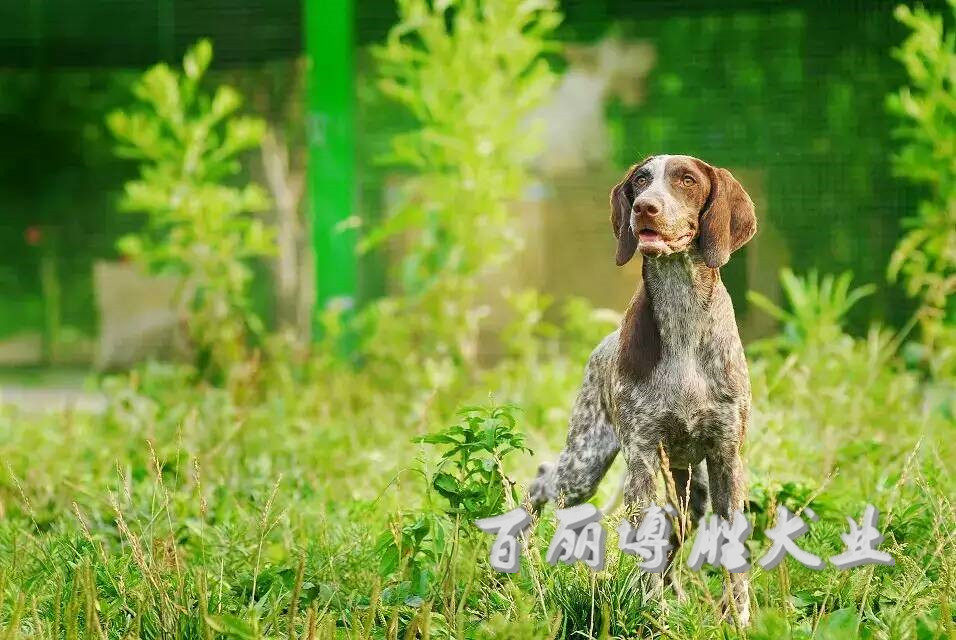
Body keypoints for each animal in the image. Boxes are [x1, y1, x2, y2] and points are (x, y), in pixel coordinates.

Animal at [526, 154, 756, 625]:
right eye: (640, 180)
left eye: (687, 180)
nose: (645, 207)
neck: (683, 316)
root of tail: (602, 343)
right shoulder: (643, 458)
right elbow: (645, 544)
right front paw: (653, 615)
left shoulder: (726, 457)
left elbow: (734, 553)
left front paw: (738, 619)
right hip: (585, 463)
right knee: (542, 480)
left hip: (691, 493)